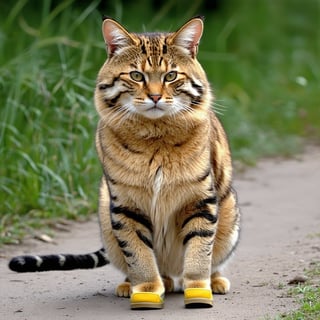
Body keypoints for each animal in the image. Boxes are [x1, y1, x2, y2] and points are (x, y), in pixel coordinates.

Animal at [8, 16, 240, 308]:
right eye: (136, 76)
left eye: (171, 76)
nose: (155, 96)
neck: (156, 137)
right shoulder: (125, 205)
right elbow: (138, 253)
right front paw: (146, 290)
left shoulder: (200, 200)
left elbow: (199, 251)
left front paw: (199, 290)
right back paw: (137, 284)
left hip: (229, 215)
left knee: (211, 260)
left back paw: (214, 281)